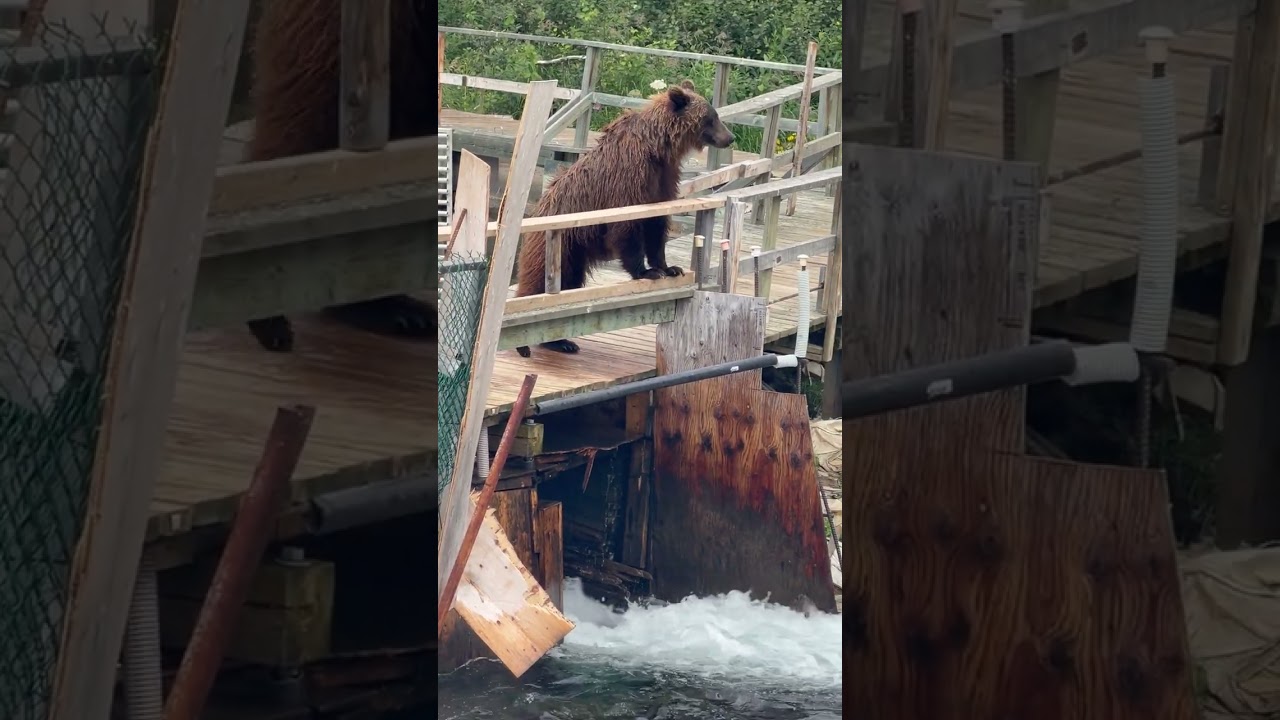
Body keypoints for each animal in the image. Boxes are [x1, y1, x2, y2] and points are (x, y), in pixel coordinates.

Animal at [513, 80, 734, 358]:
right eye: (711, 118)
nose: (730, 137)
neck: (659, 148)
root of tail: (535, 209)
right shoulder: (630, 178)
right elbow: (627, 228)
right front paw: (647, 271)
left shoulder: (663, 180)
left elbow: (656, 224)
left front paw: (669, 267)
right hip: (555, 241)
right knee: (538, 280)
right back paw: (526, 343)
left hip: (574, 251)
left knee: (570, 281)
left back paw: (562, 341)